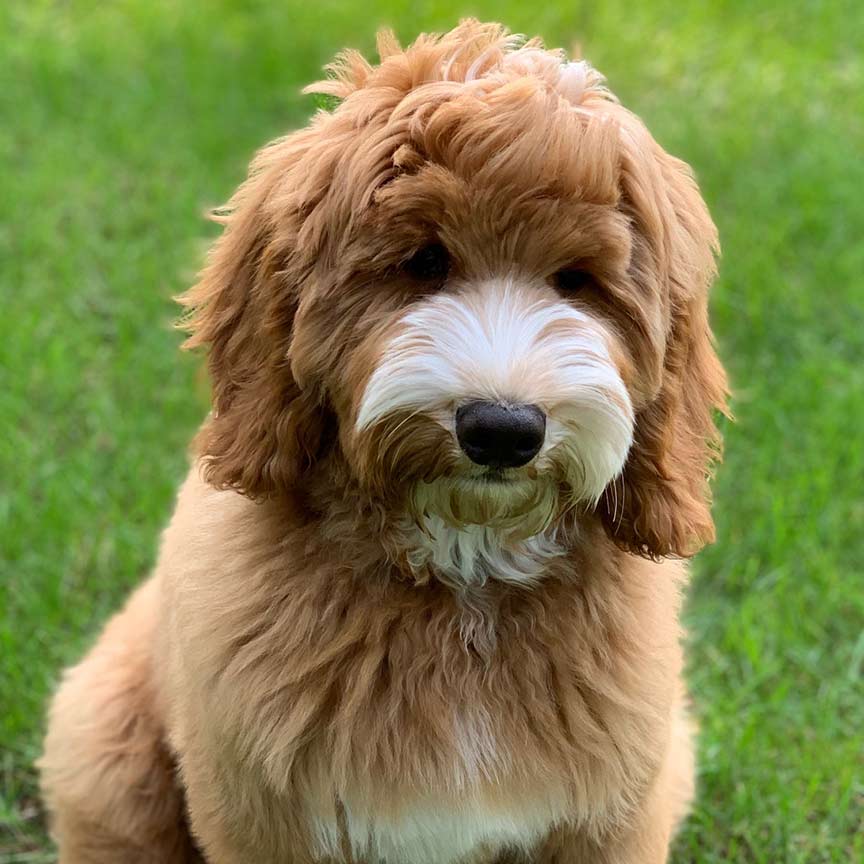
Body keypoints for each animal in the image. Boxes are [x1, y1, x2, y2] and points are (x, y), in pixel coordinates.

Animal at [40, 18, 728, 864]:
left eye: (575, 280)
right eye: (424, 262)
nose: (502, 430)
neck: (464, 577)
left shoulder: (608, 817)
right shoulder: (265, 816)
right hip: (108, 755)